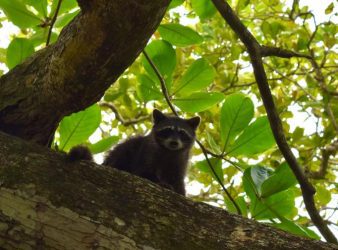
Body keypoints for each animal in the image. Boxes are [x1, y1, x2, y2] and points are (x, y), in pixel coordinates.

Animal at [69, 109, 201, 195]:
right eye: (167, 130)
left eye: (182, 132)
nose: (174, 142)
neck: (169, 151)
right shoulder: (147, 151)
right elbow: (143, 172)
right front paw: (160, 182)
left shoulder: (181, 161)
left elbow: (177, 180)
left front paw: (179, 190)